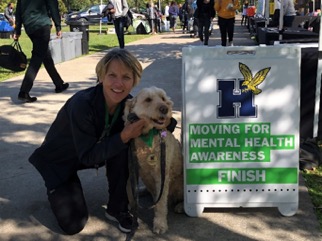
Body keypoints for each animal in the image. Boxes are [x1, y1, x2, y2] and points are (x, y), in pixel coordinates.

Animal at [124, 86, 184, 233]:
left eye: (163, 98)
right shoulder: (132, 170)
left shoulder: (161, 175)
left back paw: (181, 206)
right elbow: (131, 194)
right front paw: (133, 214)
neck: (148, 136)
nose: (165, 109)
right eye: (148, 99)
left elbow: (160, 203)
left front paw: (160, 224)